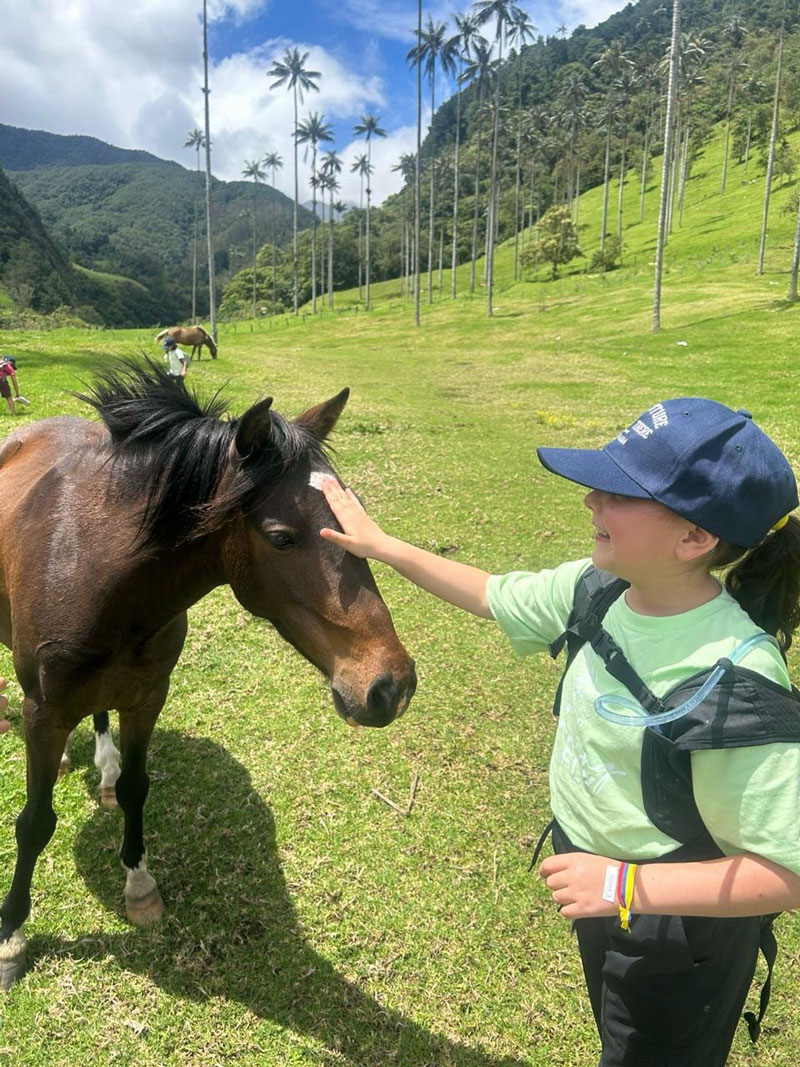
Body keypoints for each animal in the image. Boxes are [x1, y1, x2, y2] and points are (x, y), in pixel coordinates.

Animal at [0, 360, 416, 990]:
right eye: (280, 537)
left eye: (353, 517)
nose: (392, 686)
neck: (93, 570)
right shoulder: (45, 714)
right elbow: (33, 822)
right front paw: (10, 936)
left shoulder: (147, 695)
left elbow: (136, 788)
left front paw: (139, 886)